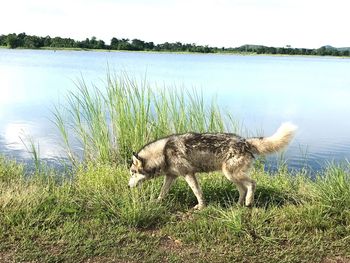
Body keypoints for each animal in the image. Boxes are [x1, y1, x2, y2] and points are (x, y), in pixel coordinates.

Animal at [127, 122, 296, 211]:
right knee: (243, 189)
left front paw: (201, 207)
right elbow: (163, 192)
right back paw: (238, 205)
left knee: (252, 184)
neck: (163, 152)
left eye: (132, 173)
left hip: (232, 174)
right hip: (231, 177)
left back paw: (248, 202)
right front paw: (156, 202)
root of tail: (245, 141)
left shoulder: (188, 174)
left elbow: (197, 192)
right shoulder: (171, 176)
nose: (128, 186)